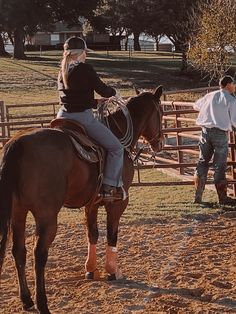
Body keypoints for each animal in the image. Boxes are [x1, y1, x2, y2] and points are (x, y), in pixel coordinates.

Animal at [0, 86, 163, 314]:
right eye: (161, 113)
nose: (160, 143)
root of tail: (17, 143)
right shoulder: (118, 204)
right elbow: (112, 235)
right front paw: (112, 271)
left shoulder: (91, 204)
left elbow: (92, 234)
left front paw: (91, 270)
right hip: (47, 217)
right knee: (39, 255)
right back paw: (43, 304)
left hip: (18, 214)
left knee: (18, 252)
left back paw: (26, 299)